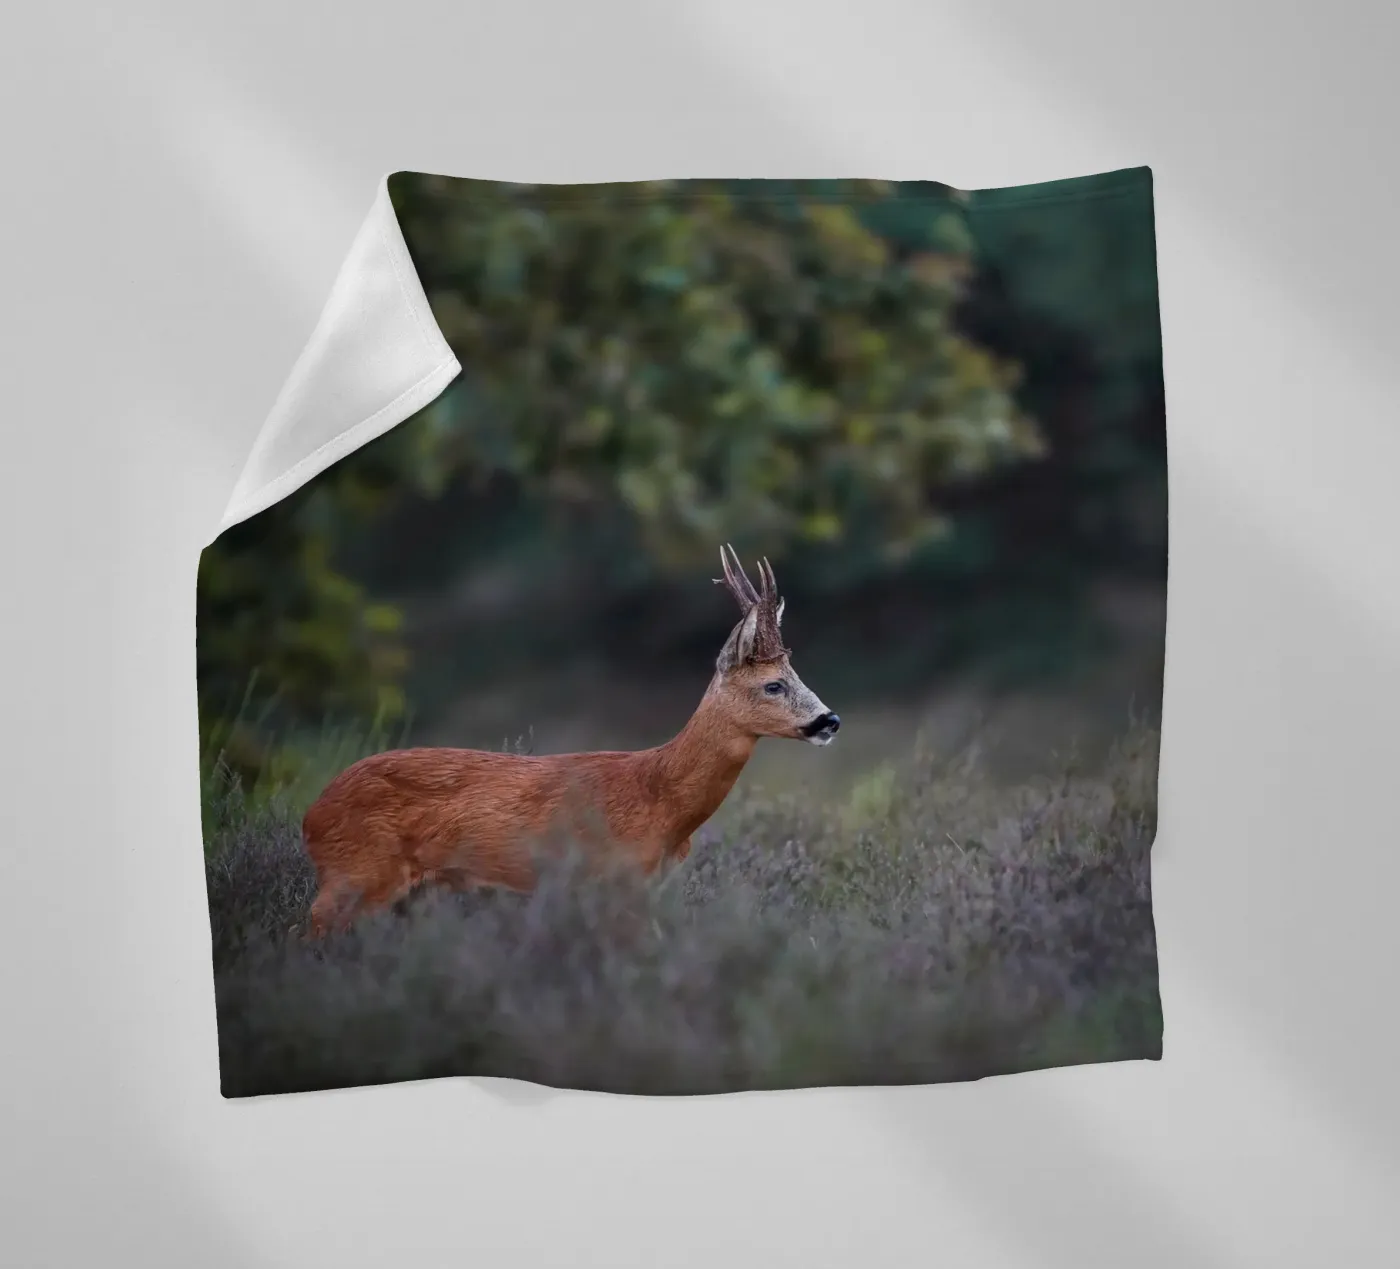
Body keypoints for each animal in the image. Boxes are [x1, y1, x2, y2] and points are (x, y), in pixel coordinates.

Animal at [301, 545, 840, 936]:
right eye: (773, 684)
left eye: (795, 674)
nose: (829, 720)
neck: (660, 802)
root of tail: (311, 816)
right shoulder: (612, 880)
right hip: (357, 873)